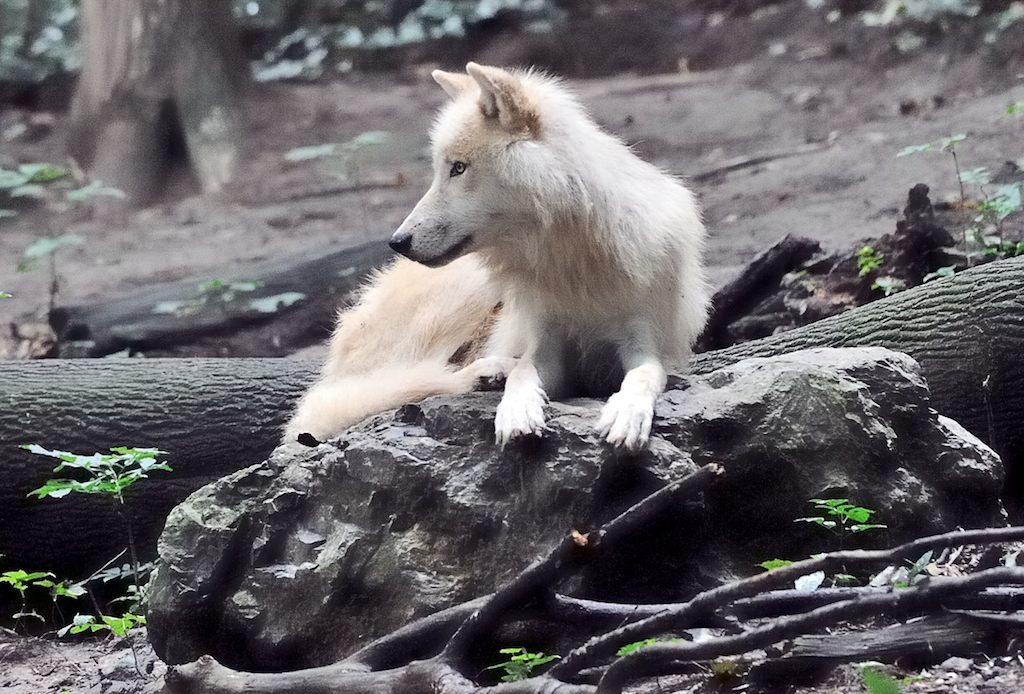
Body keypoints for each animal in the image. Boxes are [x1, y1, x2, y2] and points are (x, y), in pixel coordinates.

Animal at [285, 62, 710, 451]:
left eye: (458, 168)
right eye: (441, 169)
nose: (398, 241)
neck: (569, 260)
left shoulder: (645, 343)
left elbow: (644, 375)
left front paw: (626, 415)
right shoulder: (543, 342)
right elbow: (525, 371)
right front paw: (518, 411)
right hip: (470, 292)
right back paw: (488, 372)